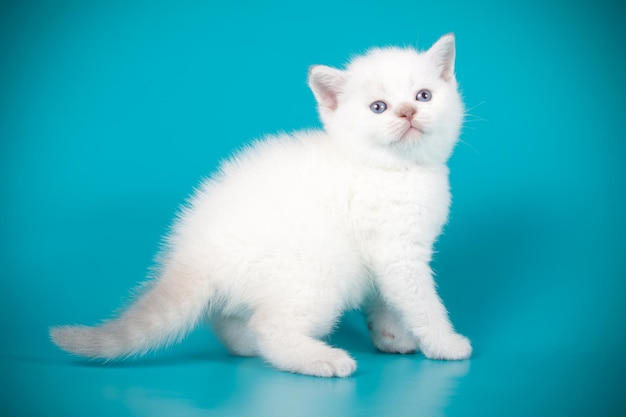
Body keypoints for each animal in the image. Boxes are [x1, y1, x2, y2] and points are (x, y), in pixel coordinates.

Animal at [51, 34, 468, 376]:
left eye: (424, 96)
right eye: (378, 107)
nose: (408, 112)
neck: (397, 169)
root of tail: (191, 253)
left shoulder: (385, 255)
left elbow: (386, 300)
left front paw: (392, 337)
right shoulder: (398, 252)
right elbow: (421, 302)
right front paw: (444, 343)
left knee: (229, 321)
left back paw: (248, 346)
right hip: (319, 270)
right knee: (269, 327)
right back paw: (322, 359)